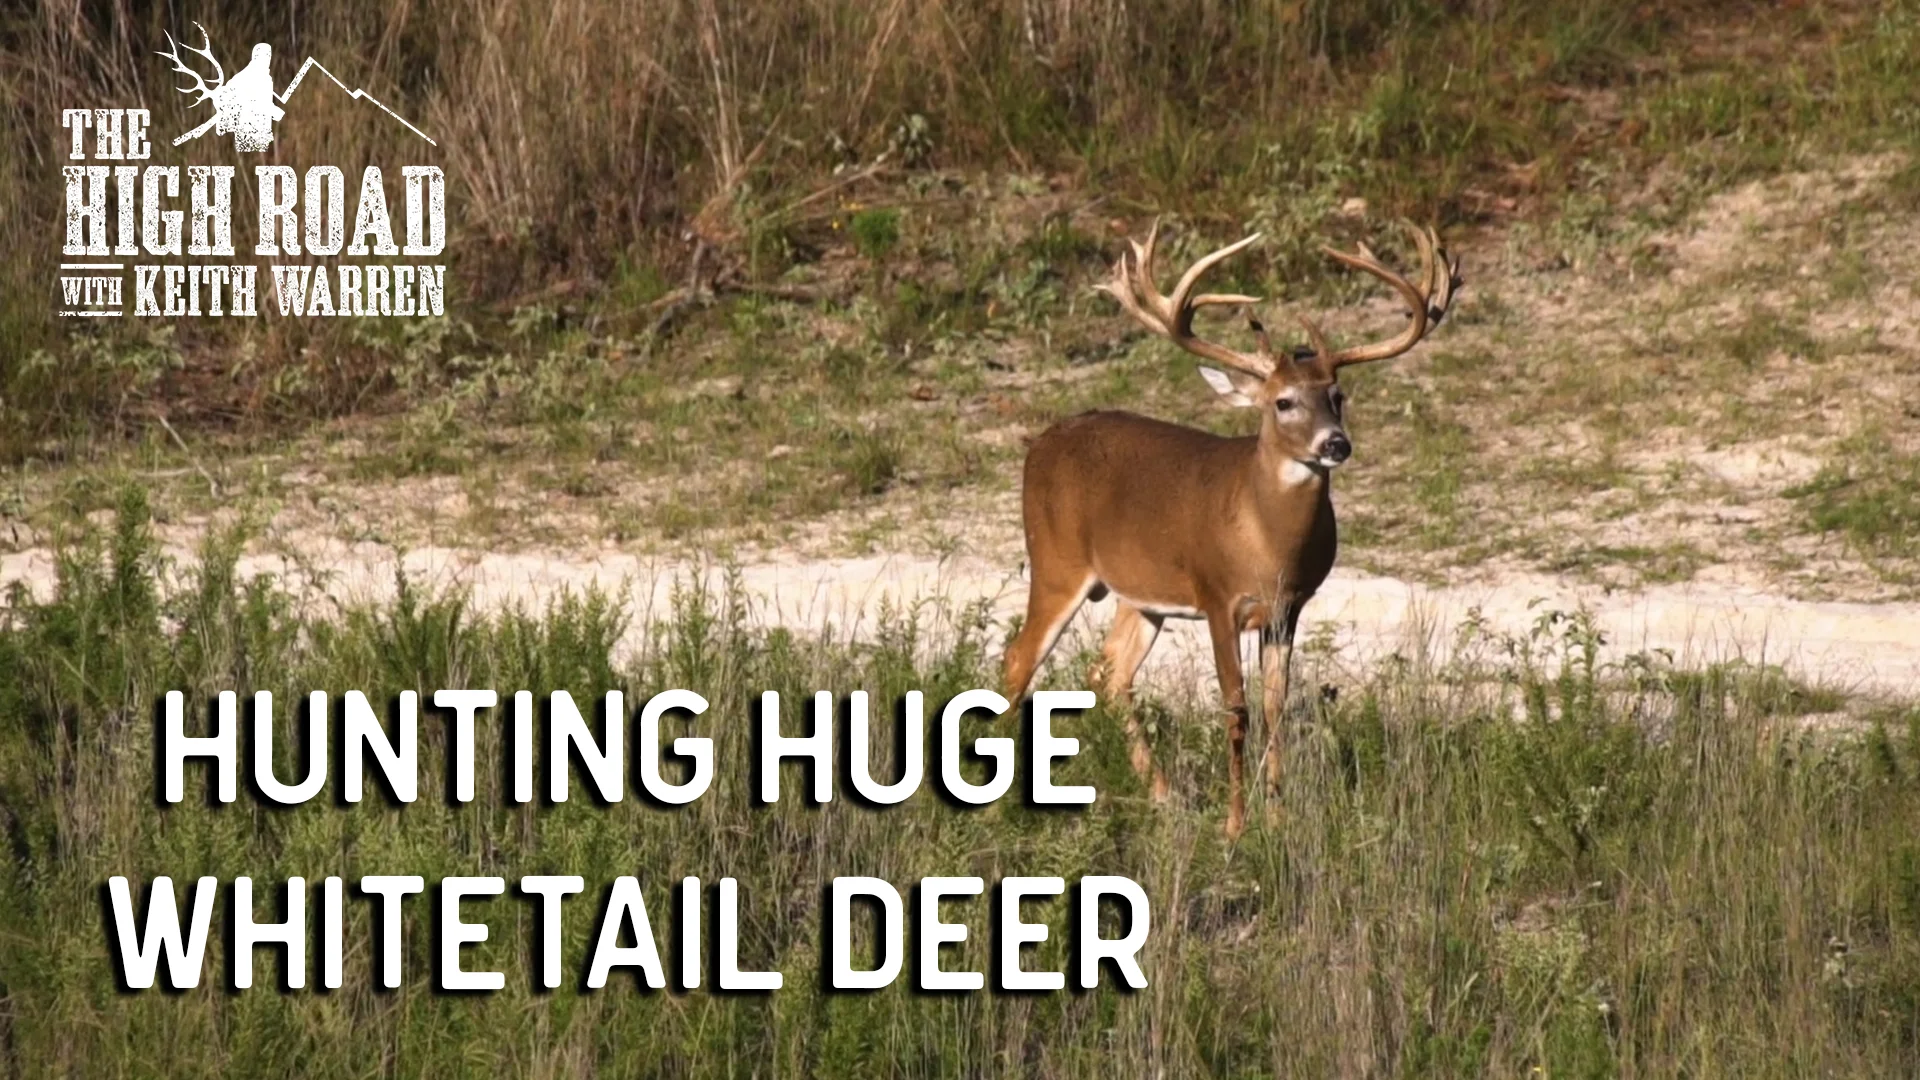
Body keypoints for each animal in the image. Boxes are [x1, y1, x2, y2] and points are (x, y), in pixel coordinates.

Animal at [1001, 221, 1460, 838]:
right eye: (1283, 402)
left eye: (1337, 396)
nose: (1336, 444)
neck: (1266, 540)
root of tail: (1040, 444)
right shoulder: (1217, 596)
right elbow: (1235, 706)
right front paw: (1235, 824)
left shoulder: (1288, 607)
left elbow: (1274, 705)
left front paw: (1278, 814)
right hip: (1056, 561)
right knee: (1019, 660)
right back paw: (1002, 802)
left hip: (1140, 595)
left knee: (1108, 672)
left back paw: (1165, 795)